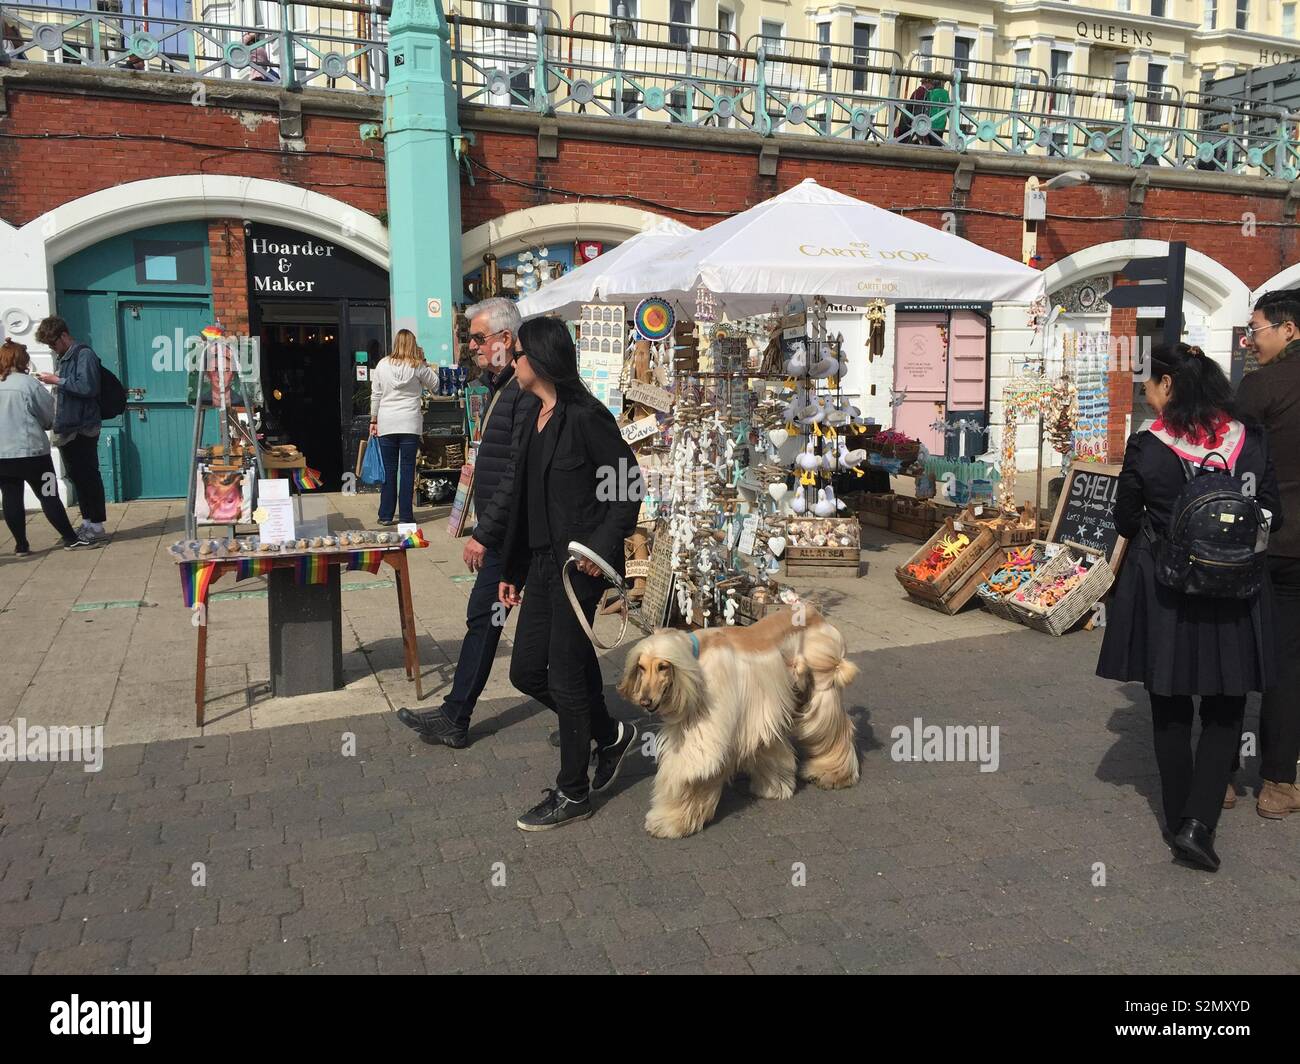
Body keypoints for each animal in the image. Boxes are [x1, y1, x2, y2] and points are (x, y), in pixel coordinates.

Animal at [616, 606, 857, 837]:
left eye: (663, 666)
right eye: (641, 667)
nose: (645, 701)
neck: (697, 658)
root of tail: (815, 612)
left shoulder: (713, 720)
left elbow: (696, 766)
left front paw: (672, 821)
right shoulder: (759, 714)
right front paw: (775, 786)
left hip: (822, 680)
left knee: (833, 726)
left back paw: (832, 773)